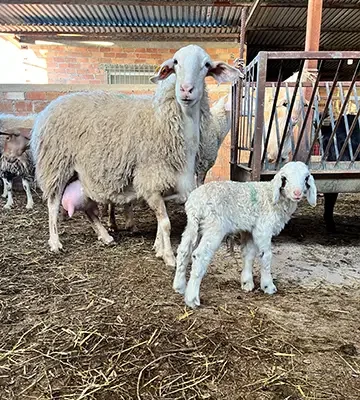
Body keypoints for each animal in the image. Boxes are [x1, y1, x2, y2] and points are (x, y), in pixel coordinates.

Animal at [172, 161, 316, 308]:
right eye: (285, 178)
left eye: (306, 178)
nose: (297, 193)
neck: (271, 196)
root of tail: (196, 204)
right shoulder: (263, 229)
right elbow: (266, 256)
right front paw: (268, 286)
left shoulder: (249, 230)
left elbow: (248, 253)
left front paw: (247, 282)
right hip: (214, 227)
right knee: (200, 255)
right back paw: (192, 299)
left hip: (193, 225)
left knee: (183, 250)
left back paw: (179, 287)